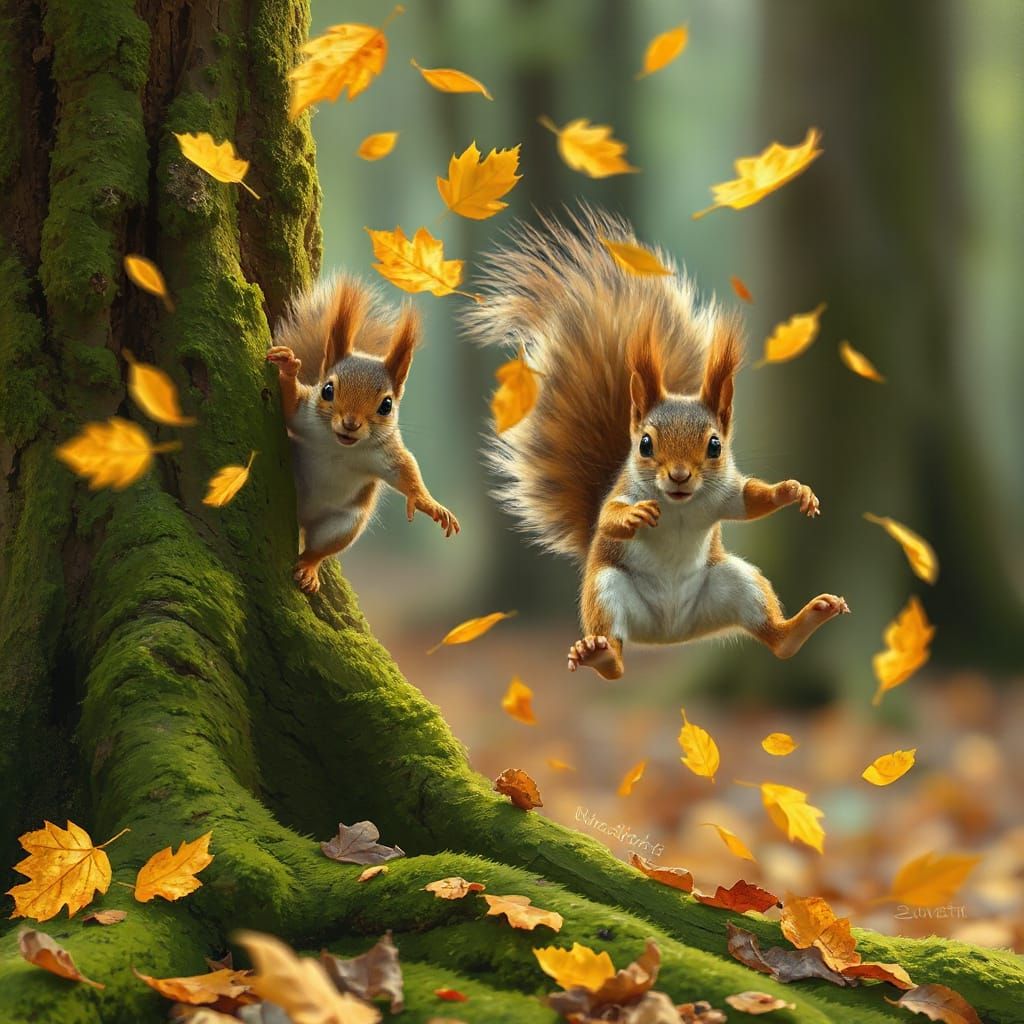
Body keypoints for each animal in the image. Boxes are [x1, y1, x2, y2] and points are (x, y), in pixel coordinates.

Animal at [267, 275, 459, 594]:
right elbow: (290, 404)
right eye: (327, 389)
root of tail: (304, 520)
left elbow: (407, 471)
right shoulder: (303, 416)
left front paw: (428, 504)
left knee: (318, 549)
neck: (340, 446)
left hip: (344, 524)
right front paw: (288, 368)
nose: (350, 423)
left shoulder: (386, 453)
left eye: (386, 405)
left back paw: (309, 568)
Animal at [463, 207, 849, 679]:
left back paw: (806, 620)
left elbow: (752, 501)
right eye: (645, 444)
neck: (680, 507)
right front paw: (634, 517)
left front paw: (793, 491)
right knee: (614, 655)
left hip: (738, 583)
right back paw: (600, 654)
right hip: (606, 589)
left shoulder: (725, 493)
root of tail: (671, 632)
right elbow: (608, 516)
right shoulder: (624, 491)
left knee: (776, 640)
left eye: (715, 446)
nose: (680, 476)